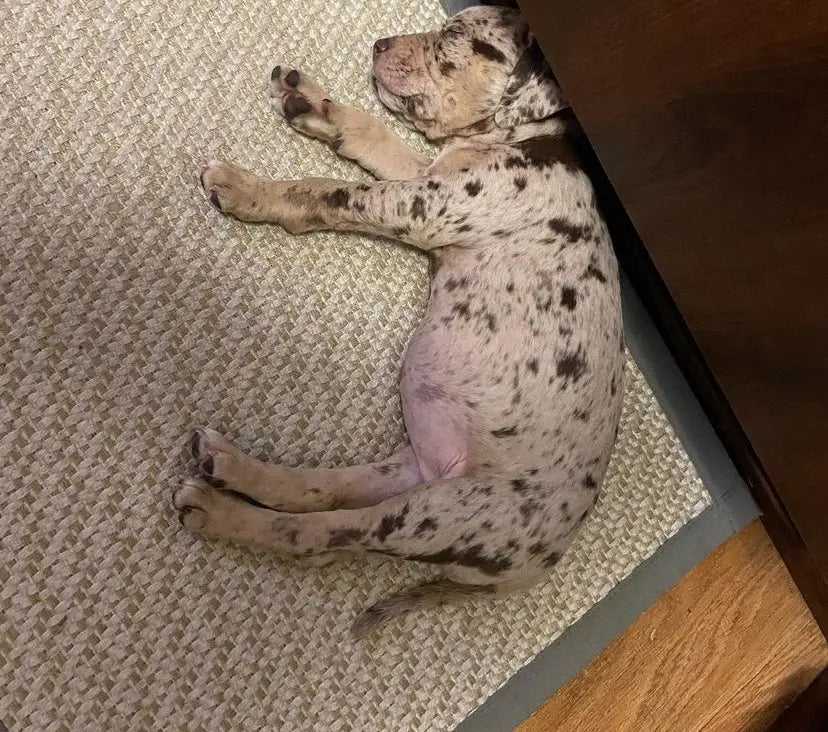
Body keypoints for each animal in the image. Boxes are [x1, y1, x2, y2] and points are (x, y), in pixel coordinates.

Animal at [176, 5, 628, 636]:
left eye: (456, 38)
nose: (380, 43)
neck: (522, 139)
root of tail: (533, 567)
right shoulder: (426, 175)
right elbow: (376, 136)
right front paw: (315, 106)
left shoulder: (423, 205)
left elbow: (329, 192)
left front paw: (252, 189)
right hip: (415, 470)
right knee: (329, 492)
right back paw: (236, 467)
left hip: (440, 513)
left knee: (321, 538)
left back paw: (220, 510)